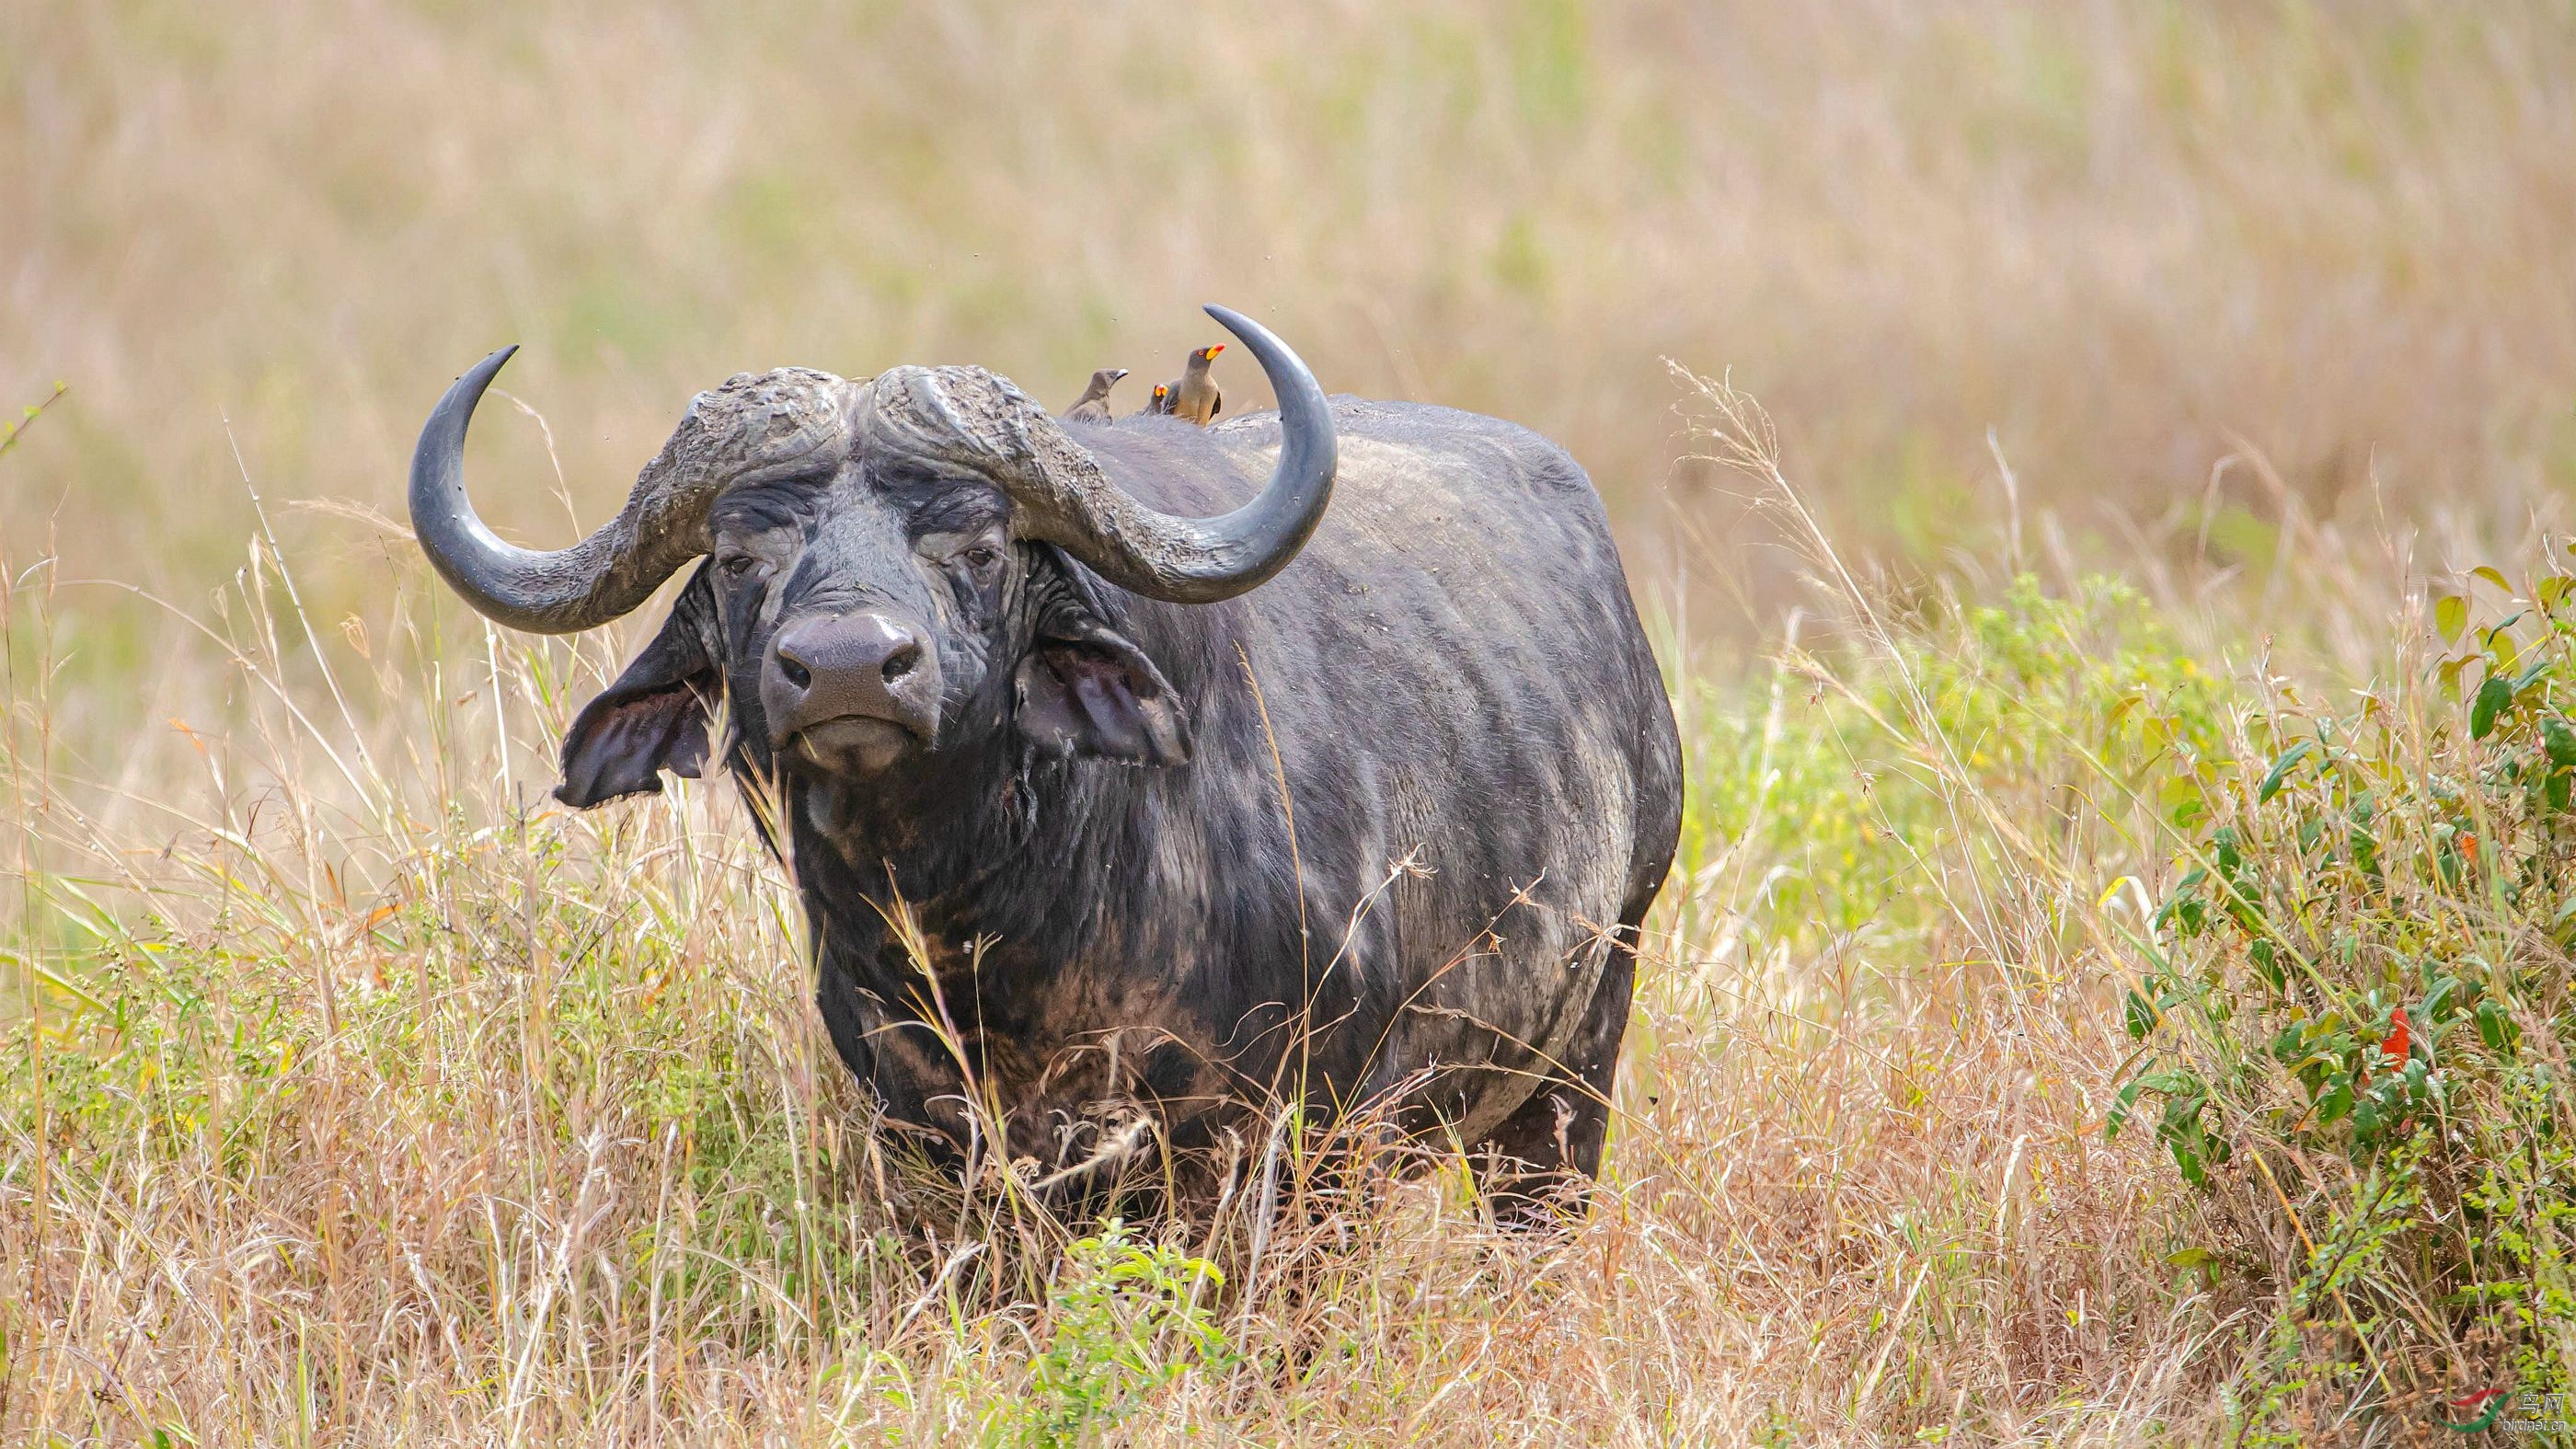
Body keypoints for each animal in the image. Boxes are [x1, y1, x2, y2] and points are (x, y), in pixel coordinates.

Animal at [409, 306, 1679, 1206]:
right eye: (734, 555)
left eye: (976, 544)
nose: (849, 669)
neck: (1006, 920)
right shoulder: (925, 1139)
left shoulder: (1300, 1142)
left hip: (1580, 1048)